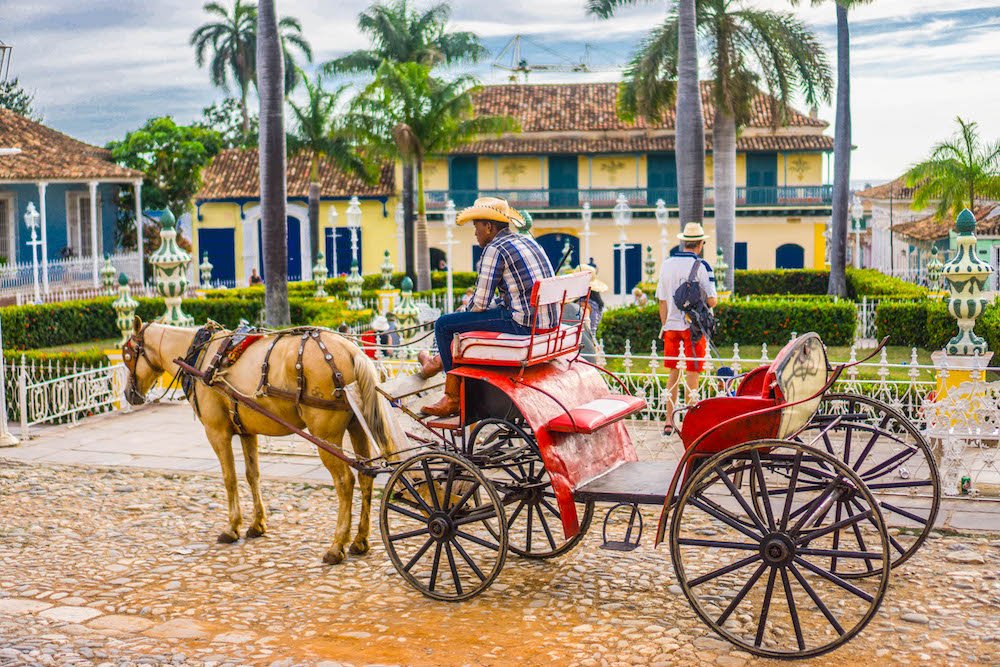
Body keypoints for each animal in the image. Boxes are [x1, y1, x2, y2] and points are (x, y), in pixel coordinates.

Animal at [119, 318, 396, 564]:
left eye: (127, 355)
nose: (129, 394)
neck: (202, 356)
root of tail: (351, 351)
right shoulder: (246, 431)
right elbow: (253, 475)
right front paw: (257, 524)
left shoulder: (216, 432)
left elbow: (229, 478)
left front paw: (232, 527)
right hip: (357, 425)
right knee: (366, 476)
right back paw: (359, 541)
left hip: (325, 435)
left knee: (345, 482)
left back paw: (337, 546)